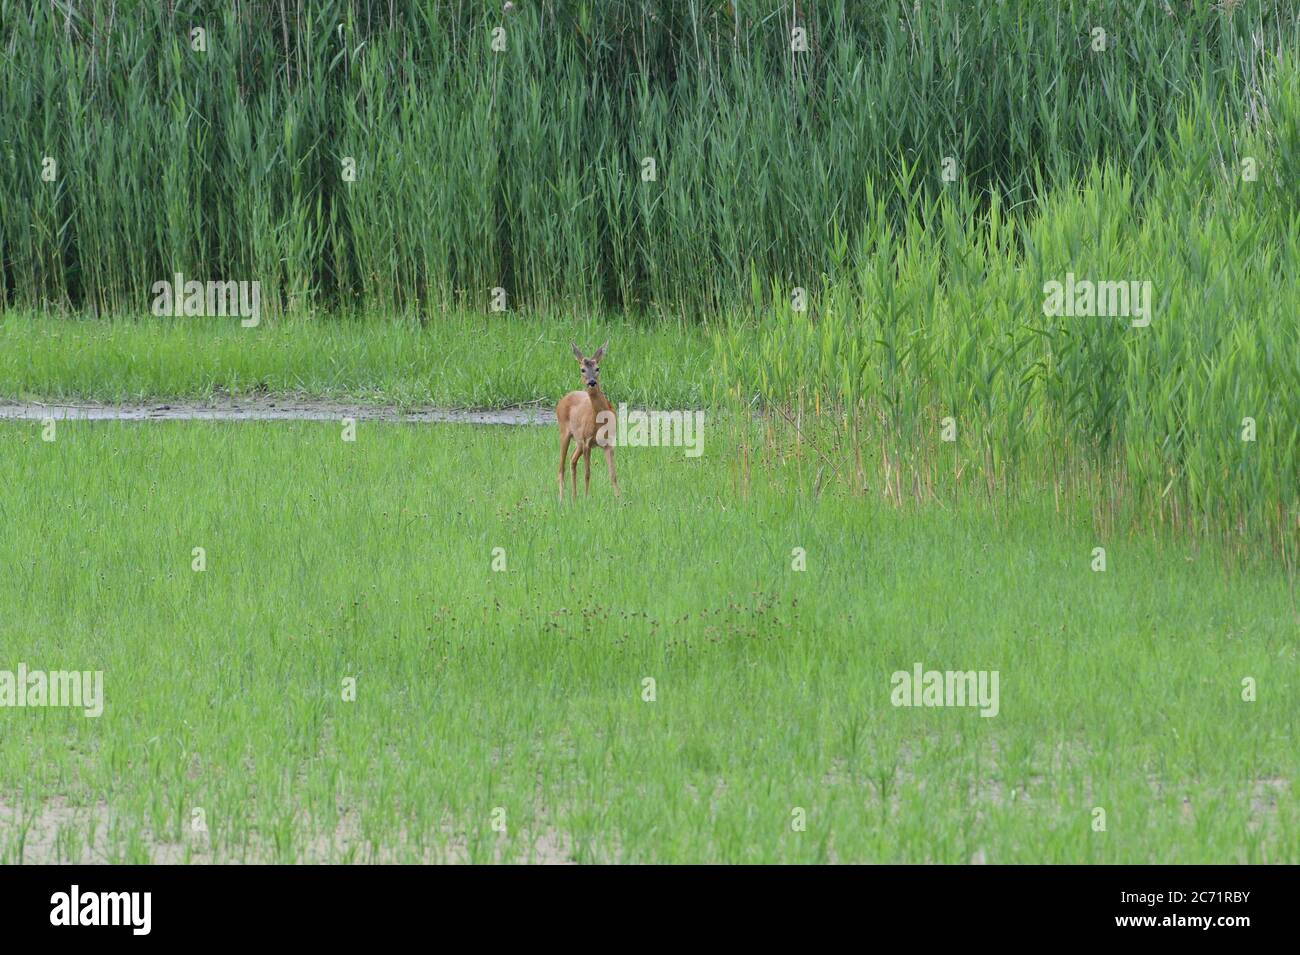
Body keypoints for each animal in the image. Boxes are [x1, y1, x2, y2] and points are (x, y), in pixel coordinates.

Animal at [559, 343, 618, 501]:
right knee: (561, 467)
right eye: (582, 369)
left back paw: (574, 497)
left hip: (578, 441)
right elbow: (587, 473)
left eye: (598, 368)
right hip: (565, 433)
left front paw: (619, 500)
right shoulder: (587, 442)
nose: (592, 382)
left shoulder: (608, 442)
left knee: (572, 460)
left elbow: (613, 474)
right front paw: (586, 498)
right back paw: (561, 499)